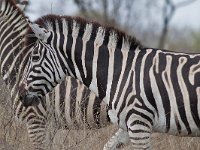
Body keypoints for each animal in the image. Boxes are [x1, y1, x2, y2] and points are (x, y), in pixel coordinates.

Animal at [19, 13, 200, 149]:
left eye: (34, 58)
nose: (20, 95)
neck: (120, 72)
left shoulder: (139, 124)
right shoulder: (127, 126)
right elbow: (108, 146)